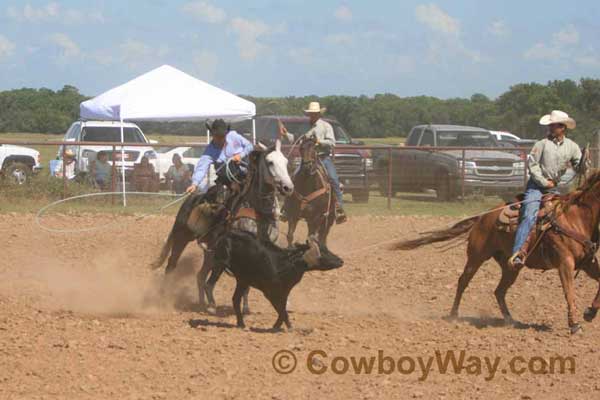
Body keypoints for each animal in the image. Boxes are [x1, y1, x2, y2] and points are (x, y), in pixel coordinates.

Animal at [392, 172, 600, 334]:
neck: (576, 218)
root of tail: (482, 217)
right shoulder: (565, 263)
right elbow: (569, 292)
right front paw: (574, 325)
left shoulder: (588, 263)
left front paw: (590, 312)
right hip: (476, 257)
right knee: (463, 282)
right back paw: (454, 315)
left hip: (510, 267)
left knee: (499, 291)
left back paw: (510, 321)